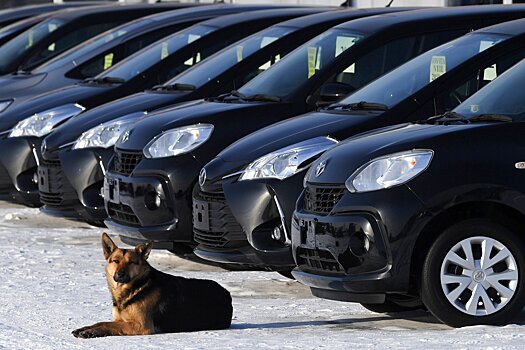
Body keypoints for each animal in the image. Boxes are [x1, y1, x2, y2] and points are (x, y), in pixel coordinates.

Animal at [71, 234, 231, 338]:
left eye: (131, 262)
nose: (120, 274)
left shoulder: (141, 326)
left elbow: (110, 326)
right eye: (115, 261)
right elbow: (102, 322)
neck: (134, 288)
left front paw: (91, 332)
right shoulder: (120, 320)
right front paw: (86, 328)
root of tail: (226, 293)